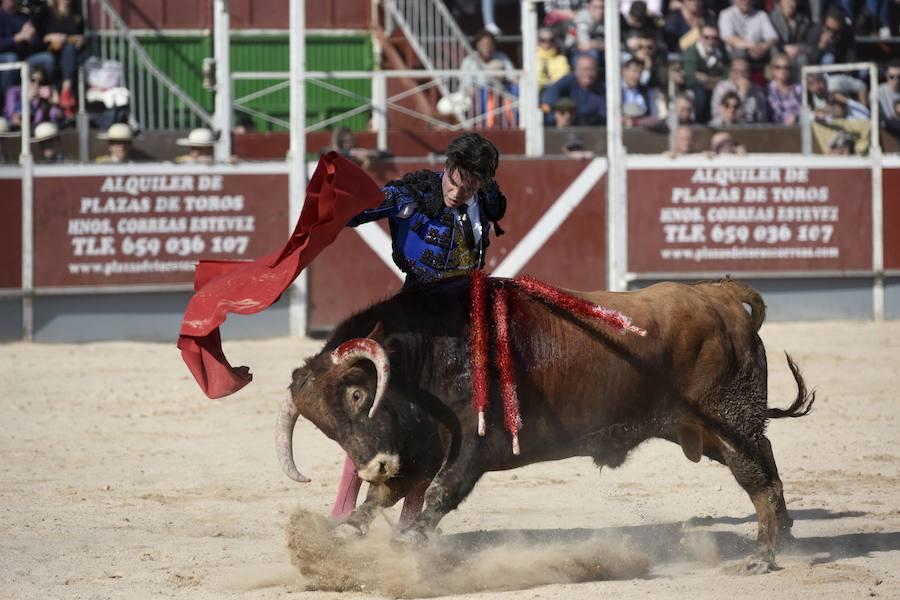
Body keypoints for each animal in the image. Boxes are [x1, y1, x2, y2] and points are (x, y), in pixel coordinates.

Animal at [274, 276, 816, 568]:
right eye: (324, 426)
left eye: (357, 393)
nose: (374, 463)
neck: (427, 355)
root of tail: (719, 298)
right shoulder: (422, 449)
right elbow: (383, 497)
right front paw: (342, 534)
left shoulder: (470, 446)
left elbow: (437, 495)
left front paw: (406, 549)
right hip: (716, 429)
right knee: (768, 465)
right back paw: (786, 539)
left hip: (729, 422)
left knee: (758, 480)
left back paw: (763, 557)